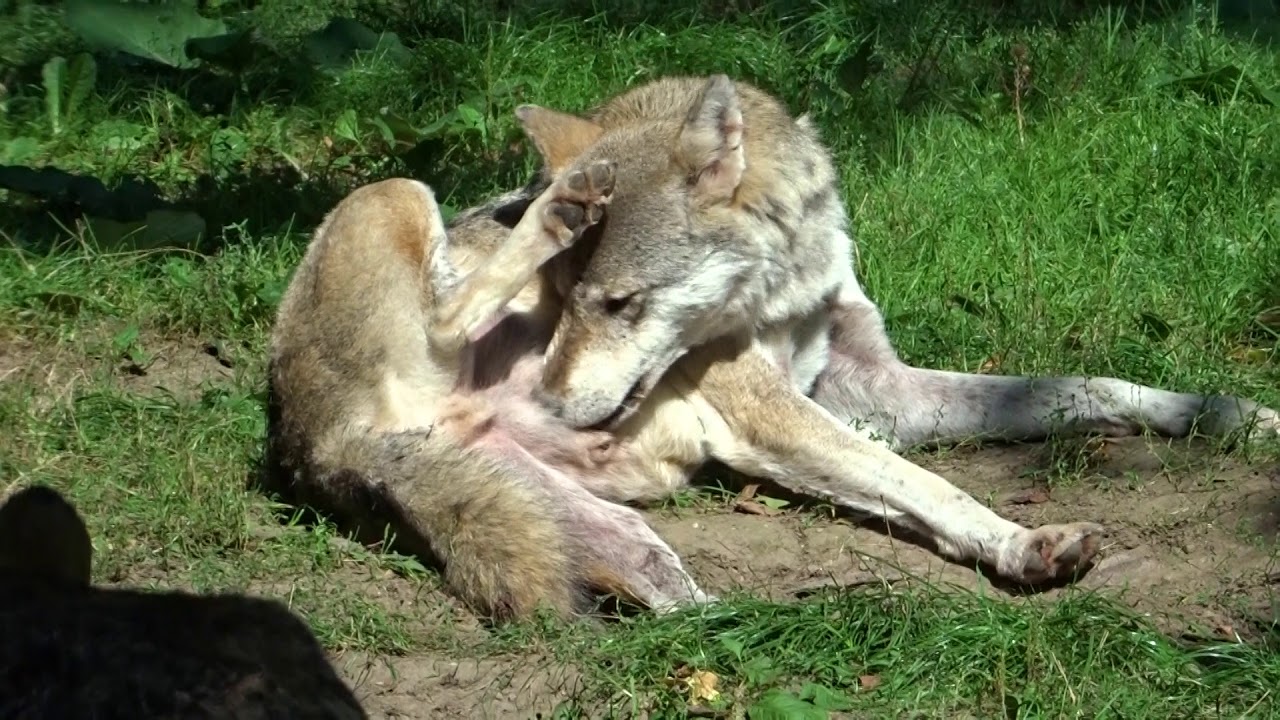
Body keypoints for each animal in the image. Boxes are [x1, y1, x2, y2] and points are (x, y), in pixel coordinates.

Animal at [264, 74, 1279, 621]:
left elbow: (1086, 386)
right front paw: (1025, 544)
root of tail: (313, 449)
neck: (785, 286)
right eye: (563, 304)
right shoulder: (776, 411)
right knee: (448, 303)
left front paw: (1232, 414)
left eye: (617, 302)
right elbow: (930, 486)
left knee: (677, 607)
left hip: (599, 531)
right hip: (398, 194)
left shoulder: (874, 389)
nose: (547, 401)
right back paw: (557, 210)